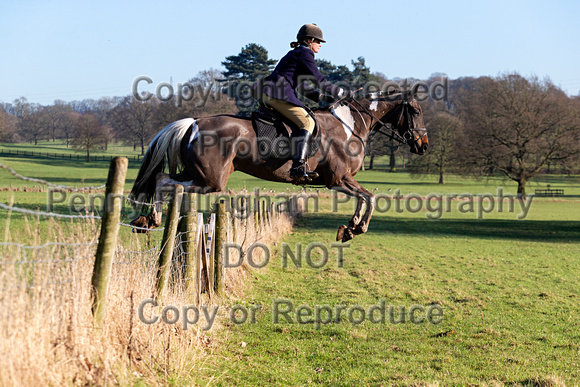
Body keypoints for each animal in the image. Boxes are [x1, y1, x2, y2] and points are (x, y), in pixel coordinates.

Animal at [129, 91, 428, 242]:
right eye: (415, 111)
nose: (423, 146)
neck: (349, 125)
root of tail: (194, 122)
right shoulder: (338, 179)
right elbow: (370, 197)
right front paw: (358, 227)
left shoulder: (341, 181)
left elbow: (366, 198)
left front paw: (350, 227)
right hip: (210, 181)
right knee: (163, 181)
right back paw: (152, 218)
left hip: (197, 174)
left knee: (163, 177)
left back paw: (145, 220)